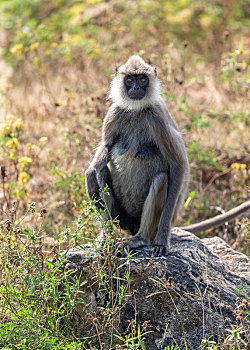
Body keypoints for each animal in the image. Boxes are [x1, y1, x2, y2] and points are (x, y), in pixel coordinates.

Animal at [85, 56, 188, 256]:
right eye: (129, 79)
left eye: (142, 79)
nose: (135, 88)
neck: (136, 110)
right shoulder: (114, 112)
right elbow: (106, 146)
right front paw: (89, 173)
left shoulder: (158, 117)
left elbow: (178, 164)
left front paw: (163, 239)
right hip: (122, 219)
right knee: (102, 173)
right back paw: (107, 237)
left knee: (161, 179)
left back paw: (141, 239)